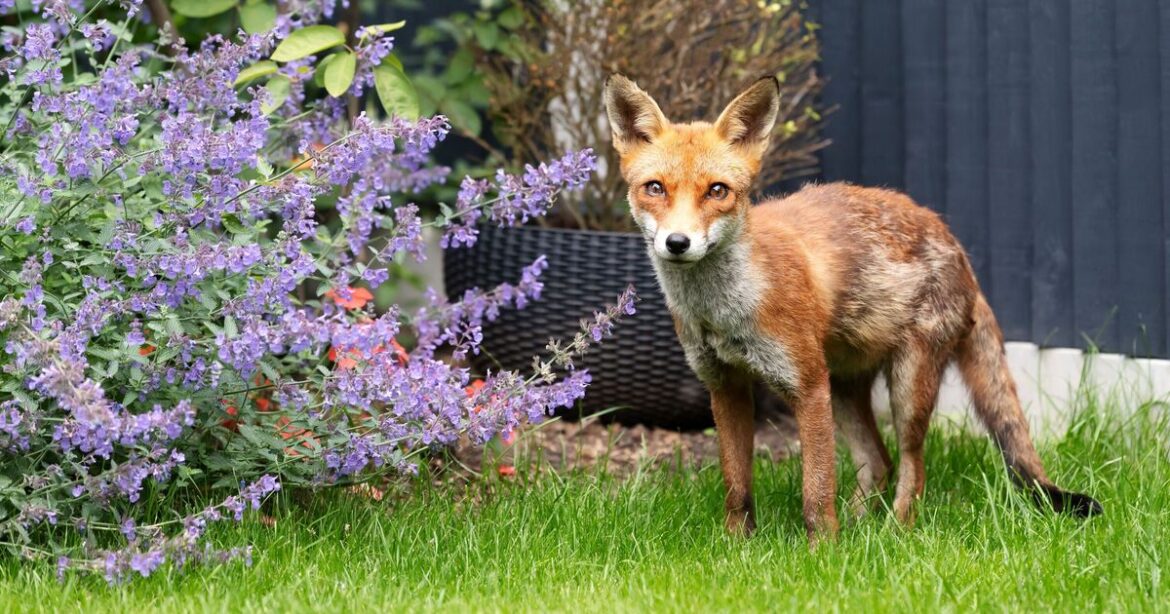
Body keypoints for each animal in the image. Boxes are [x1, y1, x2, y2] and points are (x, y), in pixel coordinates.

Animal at [602, 74, 1102, 542]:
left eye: (717, 191)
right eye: (655, 188)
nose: (678, 243)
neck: (724, 311)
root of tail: (957, 246)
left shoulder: (806, 385)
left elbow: (817, 489)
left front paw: (823, 552)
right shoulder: (725, 387)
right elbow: (737, 486)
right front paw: (737, 545)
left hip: (906, 389)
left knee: (912, 468)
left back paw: (895, 533)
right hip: (844, 388)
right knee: (878, 462)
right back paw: (863, 533)